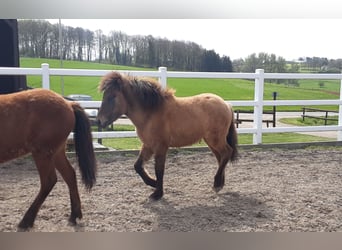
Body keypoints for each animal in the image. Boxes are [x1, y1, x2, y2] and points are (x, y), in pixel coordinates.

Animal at [0, 88, 96, 230]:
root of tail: (68, 104)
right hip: (56, 153)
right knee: (69, 175)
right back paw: (74, 215)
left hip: (42, 153)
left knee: (49, 181)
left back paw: (26, 221)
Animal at [97, 71, 238, 200]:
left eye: (112, 96)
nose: (99, 121)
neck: (151, 112)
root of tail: (226, 104)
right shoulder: (148, 145)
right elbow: (138, 166)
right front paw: (153, 183)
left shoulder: (160, 146)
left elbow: (159, 169)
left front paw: (157, 193)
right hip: (211, 141)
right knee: (221, 157)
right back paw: (219, 184)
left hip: (215, 139)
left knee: (227, 152)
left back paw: (217, 183)